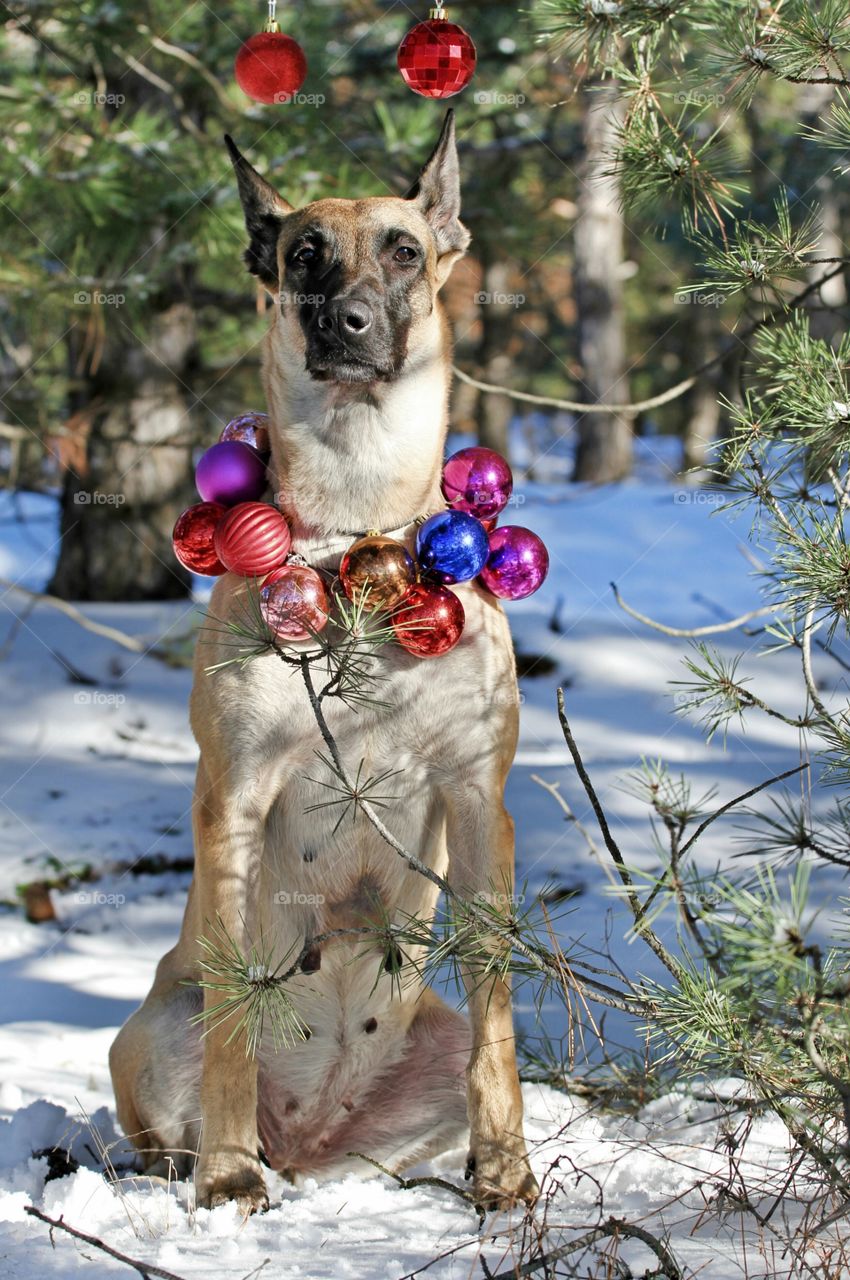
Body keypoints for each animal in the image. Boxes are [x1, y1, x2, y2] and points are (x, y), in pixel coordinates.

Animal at [109, 107, 537, 1208]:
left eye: (404, 250)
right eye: (303, 253)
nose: (347, 322)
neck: (357, 538)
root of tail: (307, 1134)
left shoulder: (477, 795)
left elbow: (497, 1004)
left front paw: (505, 1169)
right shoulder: (235, 793)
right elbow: (232, 1020)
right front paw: (226, 1176)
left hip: (418, 1058)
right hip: (145, 1032)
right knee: (180, 1089)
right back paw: (208, 1162)